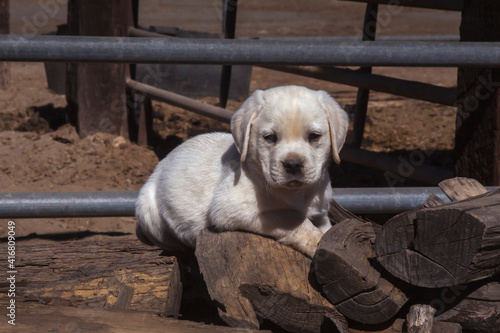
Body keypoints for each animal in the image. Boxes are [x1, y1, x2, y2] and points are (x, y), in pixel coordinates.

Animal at [135, 85, 350, 256]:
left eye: (314, 136)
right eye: (270, 138)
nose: (293, 164)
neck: (297, 193)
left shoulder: (321, 213)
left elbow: (326, 227)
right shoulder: (230, 208)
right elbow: (293, 218)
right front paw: (316, 242)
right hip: (147, 210)